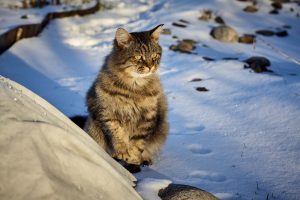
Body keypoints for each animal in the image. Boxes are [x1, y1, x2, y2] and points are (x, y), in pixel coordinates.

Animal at [84, 23, 169, 169]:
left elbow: (138, 144)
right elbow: (118, 134)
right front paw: (123, 152)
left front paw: (133, 159)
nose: (151, 66)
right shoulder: (108, 113)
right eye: (138, 57)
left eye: (154, 56)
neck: (134, 88)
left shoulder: (147, 117)